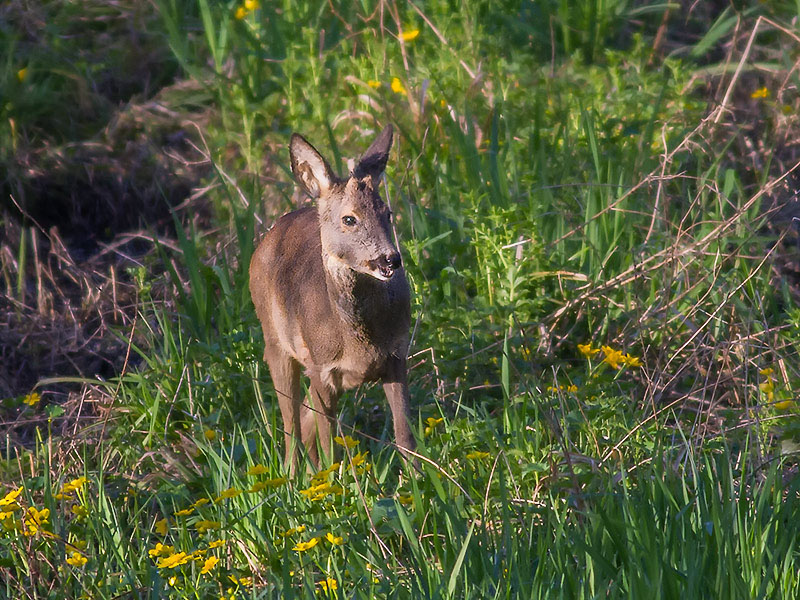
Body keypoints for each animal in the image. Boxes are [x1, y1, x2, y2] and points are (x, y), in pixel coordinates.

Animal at [250, 125, 416, 474]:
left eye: (388, 212)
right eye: (349, 219)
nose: (391, 259)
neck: (359, 343)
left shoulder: (397, 355)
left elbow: (405, 437)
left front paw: (421, 482)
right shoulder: (321, 369)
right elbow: (331, 448)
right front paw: (338, 483)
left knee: (303, 419)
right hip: (276, 344)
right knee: (291, 426)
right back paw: (292, 477)